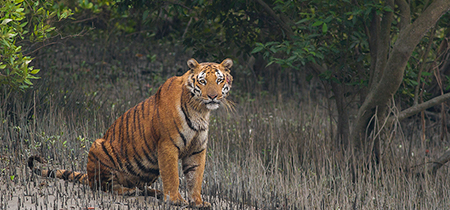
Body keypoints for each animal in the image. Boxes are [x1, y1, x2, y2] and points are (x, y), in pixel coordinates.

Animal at [27, 57, 236, 208]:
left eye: (219, 80)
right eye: (203, 81)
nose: (213, 96)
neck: (200, 110)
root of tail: (88, 174)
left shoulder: (197, 149)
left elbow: (195, 177)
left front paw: (197, 202)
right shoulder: (168, 145)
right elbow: (172, 175)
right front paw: (175, 200)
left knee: (139, 185)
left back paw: (154, 192)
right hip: (98, 147)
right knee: (103, 185)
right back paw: (125, 191)